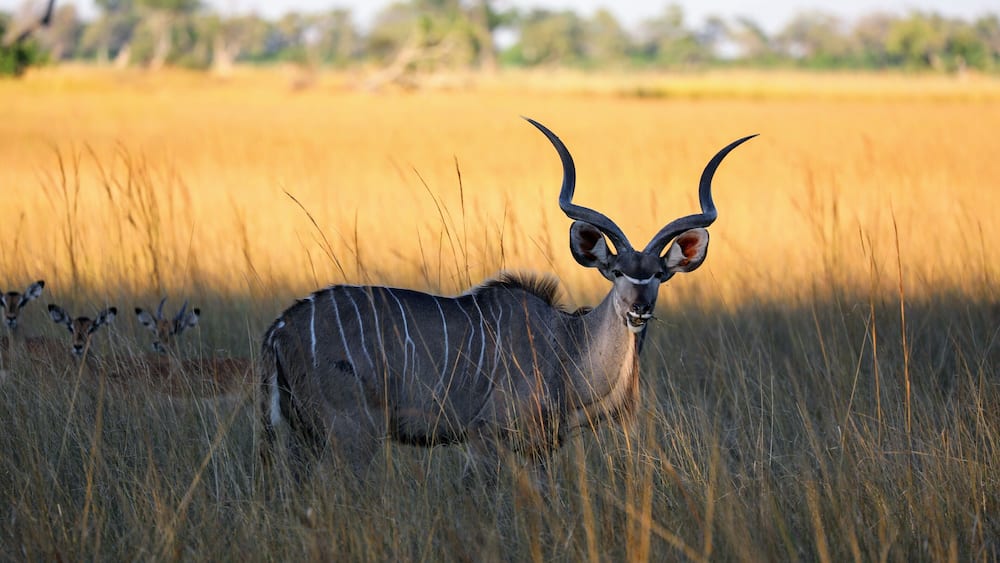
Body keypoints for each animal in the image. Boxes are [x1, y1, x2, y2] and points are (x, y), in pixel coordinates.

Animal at [260, 118, 755, 485]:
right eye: (617, 273)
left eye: (657, 276)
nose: (638, 309)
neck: (566, 348)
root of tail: (280, 328)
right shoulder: (485, 440)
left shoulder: (539, 450)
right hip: (353, 435)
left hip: (305, 438)